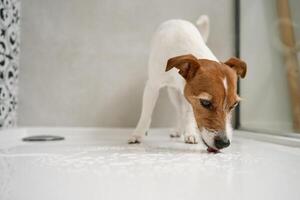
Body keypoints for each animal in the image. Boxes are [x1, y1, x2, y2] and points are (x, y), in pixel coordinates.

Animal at [127, 15, 247, 152]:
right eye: (205, 103)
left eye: (234, 104)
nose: (224, 143)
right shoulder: (152, 86)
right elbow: (146, 114)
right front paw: (137, 134)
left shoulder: (191, 96)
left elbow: (189, 114)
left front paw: (190, 133)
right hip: (173, 93)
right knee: (177, 110)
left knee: (181, 112)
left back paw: (181, 130)